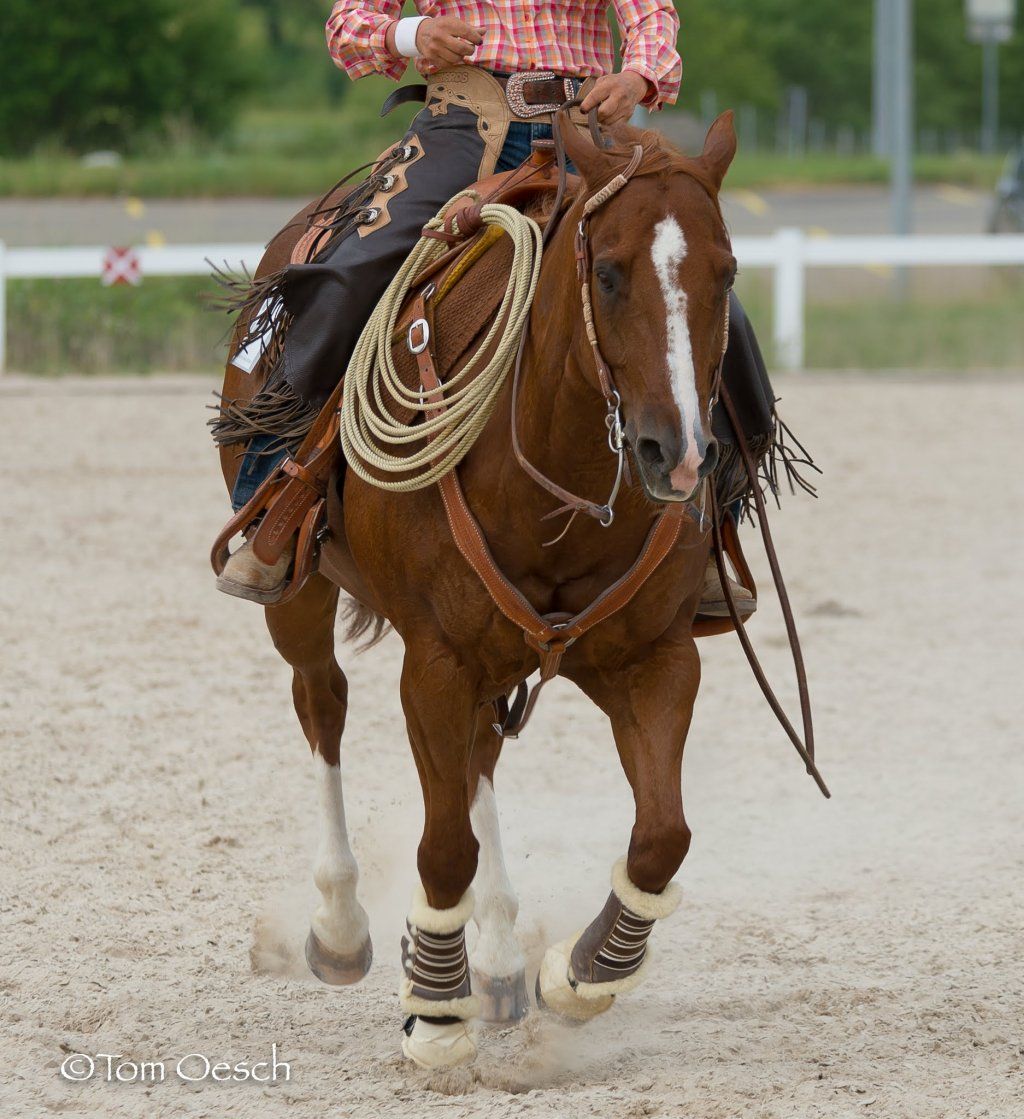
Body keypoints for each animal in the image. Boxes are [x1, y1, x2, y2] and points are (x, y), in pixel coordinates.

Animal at [216, 111, 739, 1068]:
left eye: (725, 274)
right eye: (609, 272)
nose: (677, 455)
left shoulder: (657, 659)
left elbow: (660, 835)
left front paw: (584, 974)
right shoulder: (437, 664)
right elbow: (444, 844)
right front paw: (433, 1007)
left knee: (481, 760)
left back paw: (497, 961)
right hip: (298, 595)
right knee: (322, 707)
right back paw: (342, 927)